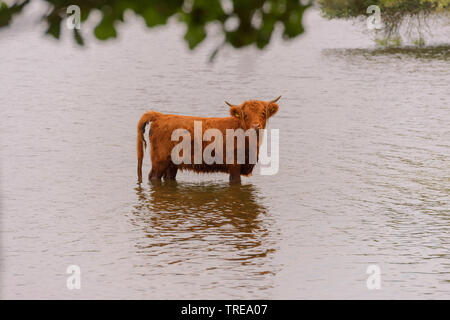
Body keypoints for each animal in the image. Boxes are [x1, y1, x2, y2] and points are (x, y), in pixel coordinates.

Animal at [135, 95, 280, 182]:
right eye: (245, 115)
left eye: (263, 113)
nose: (256, 126)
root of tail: (160, 116)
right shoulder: (234, 167)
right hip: (160, 161)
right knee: (153, 177)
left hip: (172, 164)